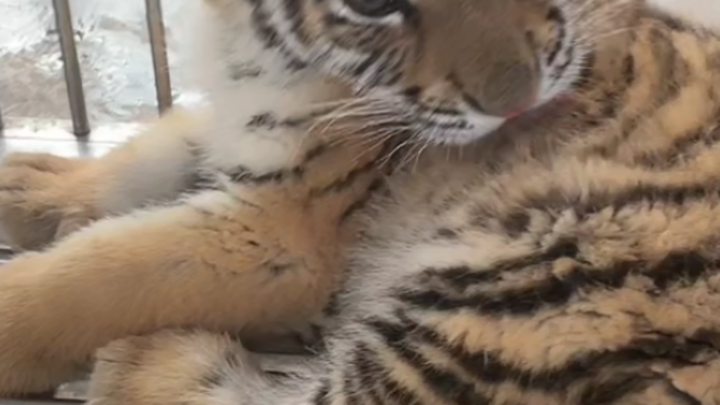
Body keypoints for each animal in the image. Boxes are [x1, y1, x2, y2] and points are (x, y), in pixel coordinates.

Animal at [1, 0, 720, 404]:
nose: (517, 101)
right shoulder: (244, 125)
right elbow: (155, 153)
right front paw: (31, 186)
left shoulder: (288, 227)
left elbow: (102, 271)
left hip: (527, 279)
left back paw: (142, 356)